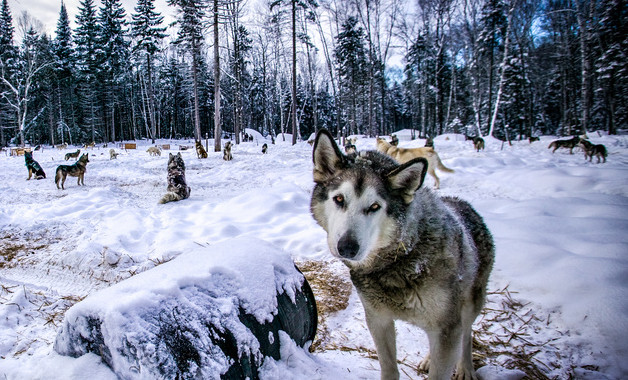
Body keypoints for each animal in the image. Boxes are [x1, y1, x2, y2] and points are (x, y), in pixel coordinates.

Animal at [312, 130, 494, 380]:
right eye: (339, 199)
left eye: (375, 207)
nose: (347, 247)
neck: (402, 257)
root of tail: (462, 203)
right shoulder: (378, 320)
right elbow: (389, 368)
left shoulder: (447, 328)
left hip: (468, 306)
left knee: (467, 335)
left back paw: (465, 368)